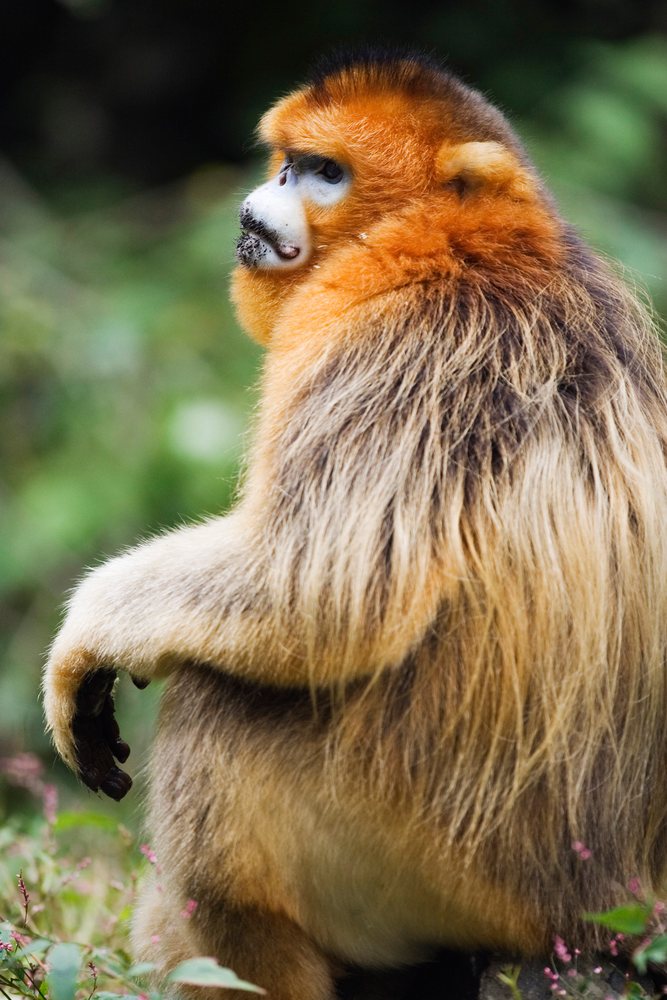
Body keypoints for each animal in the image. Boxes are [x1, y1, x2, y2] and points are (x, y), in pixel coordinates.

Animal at [43, 49, 667, 1000]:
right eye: (286, 165)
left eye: (324, 173)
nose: (259, 203)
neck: (462, 243)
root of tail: (613, 907)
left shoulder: (403, 336)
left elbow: (320, 592)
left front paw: (86, 641)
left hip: (452, 866)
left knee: (219, 699)